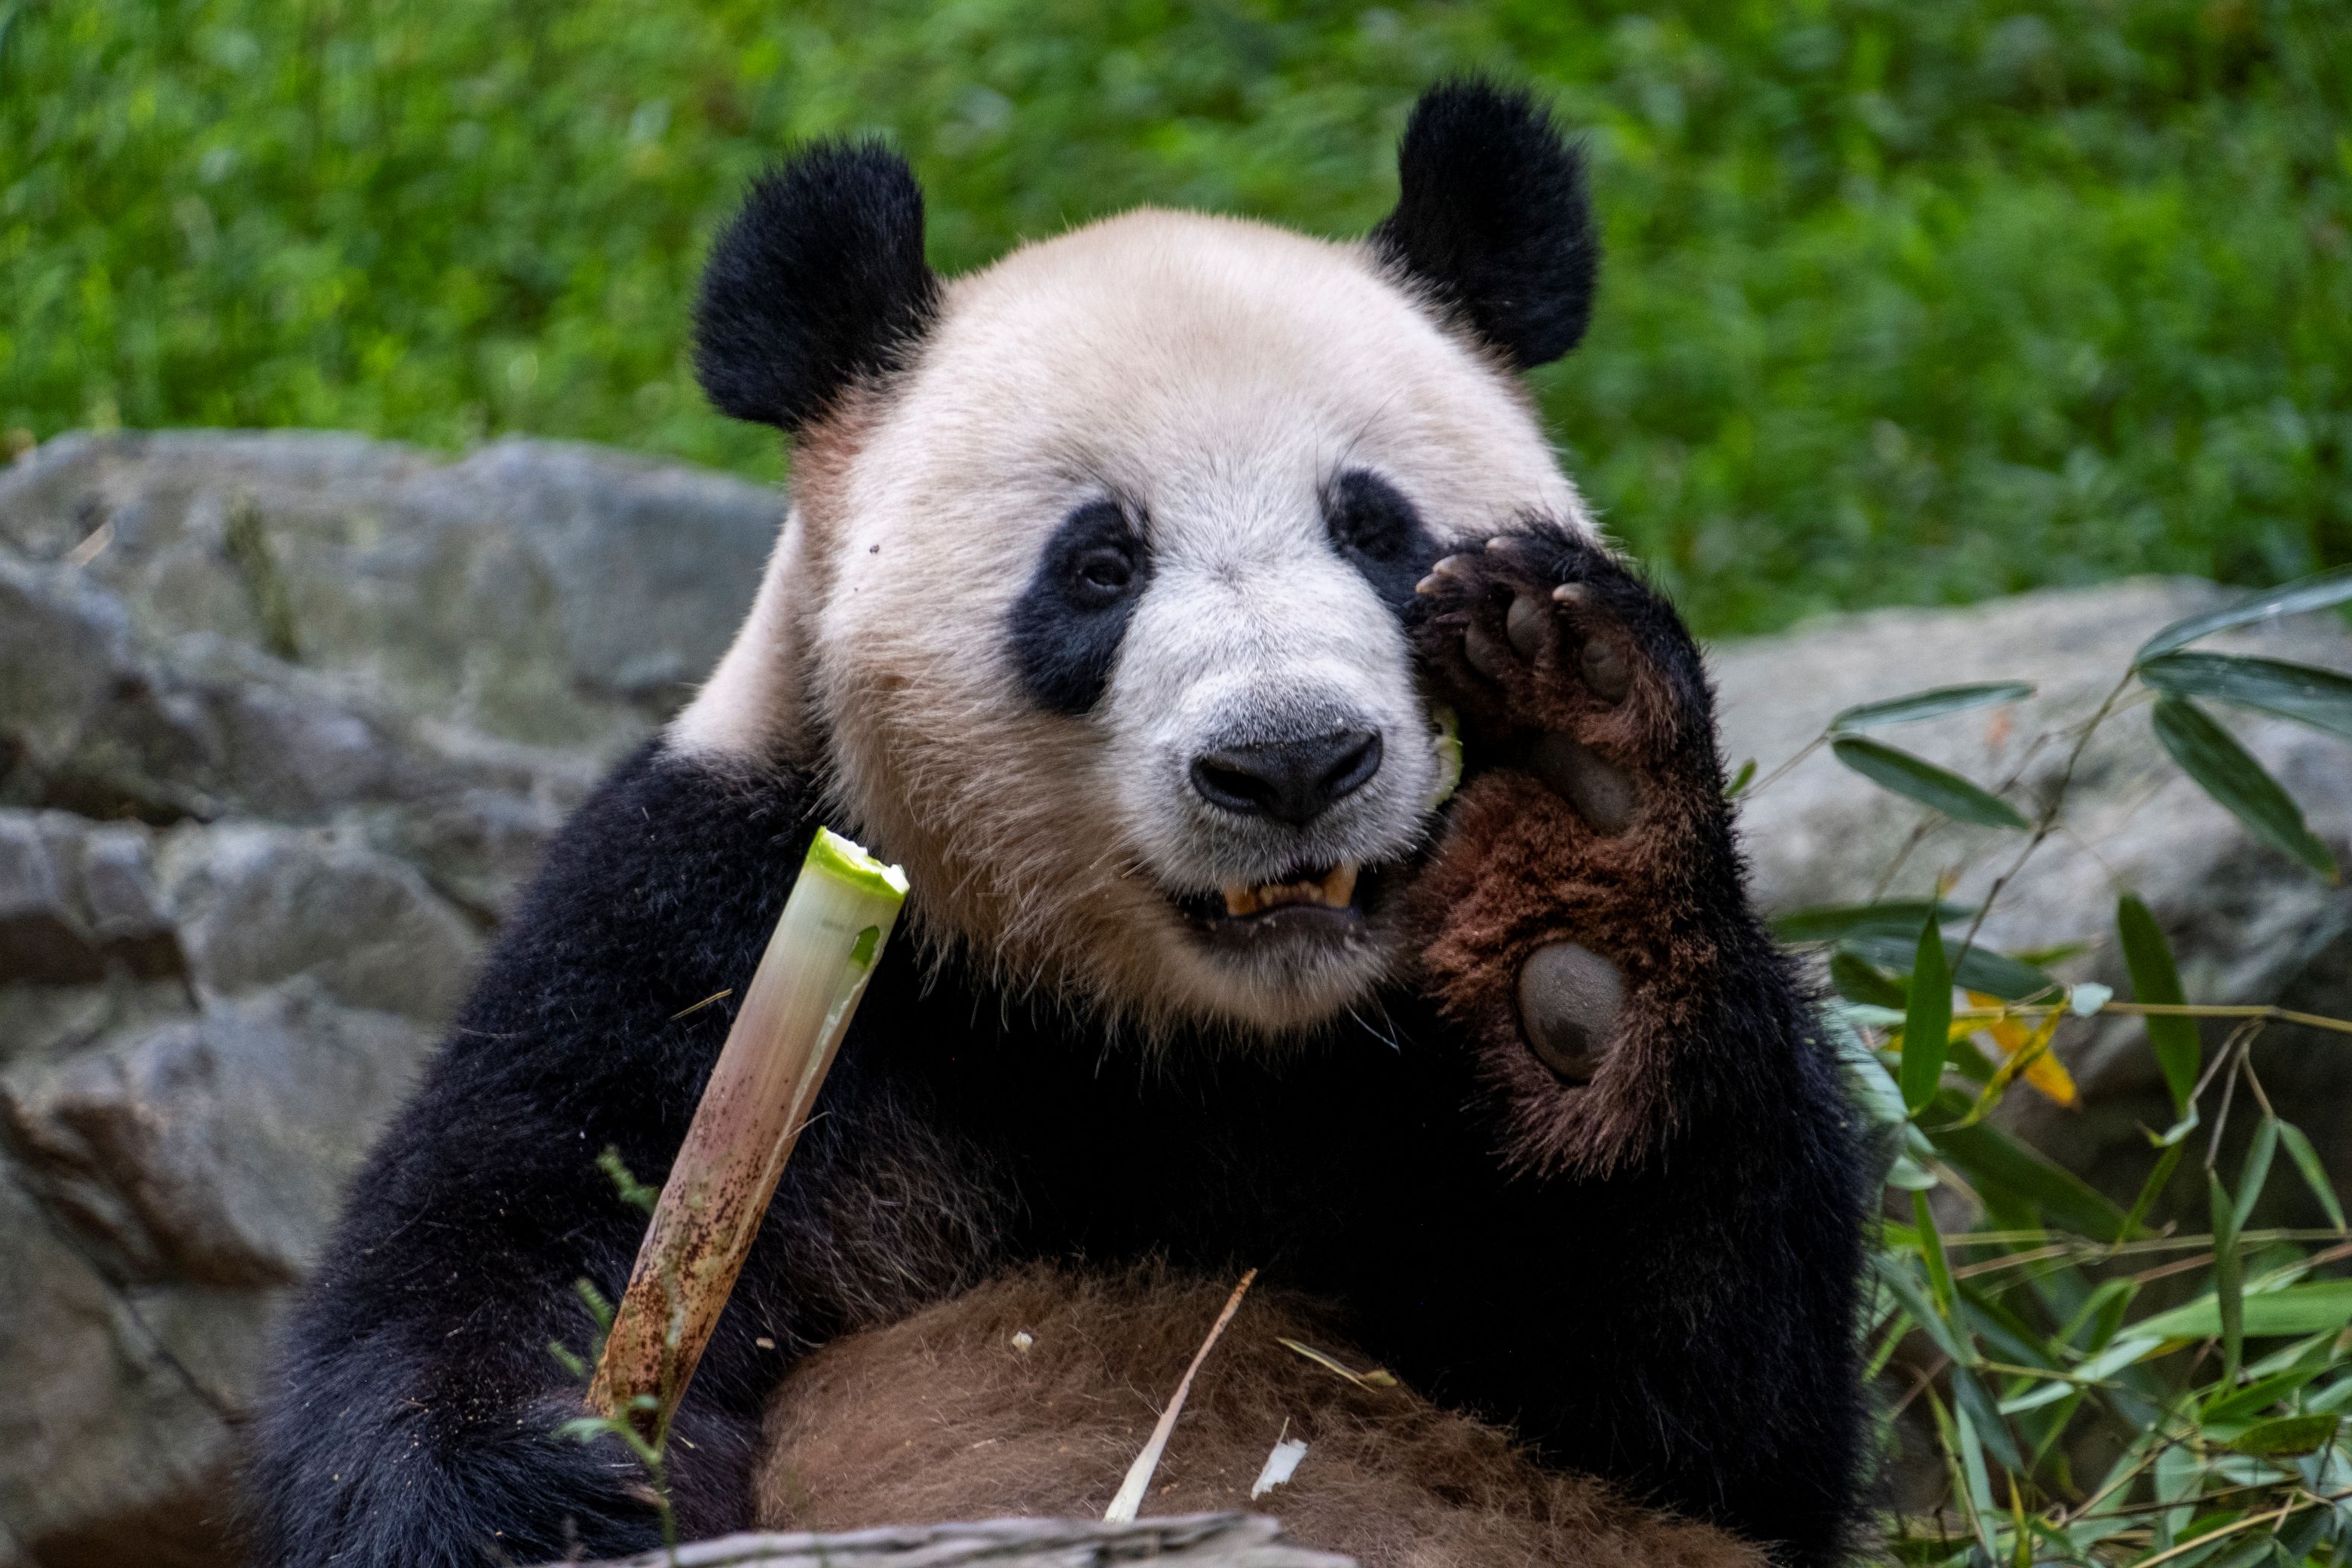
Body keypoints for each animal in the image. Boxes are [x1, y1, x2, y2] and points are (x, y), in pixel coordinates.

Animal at [245, 80, 1869, 1568]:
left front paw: (1581, 885)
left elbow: (1707, 1416)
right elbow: (489, 1251)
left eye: (1374, 526)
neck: (1190, 1029)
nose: (1290, 761)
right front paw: (556, 1489)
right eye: (1098, 566)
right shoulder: (709, 920)